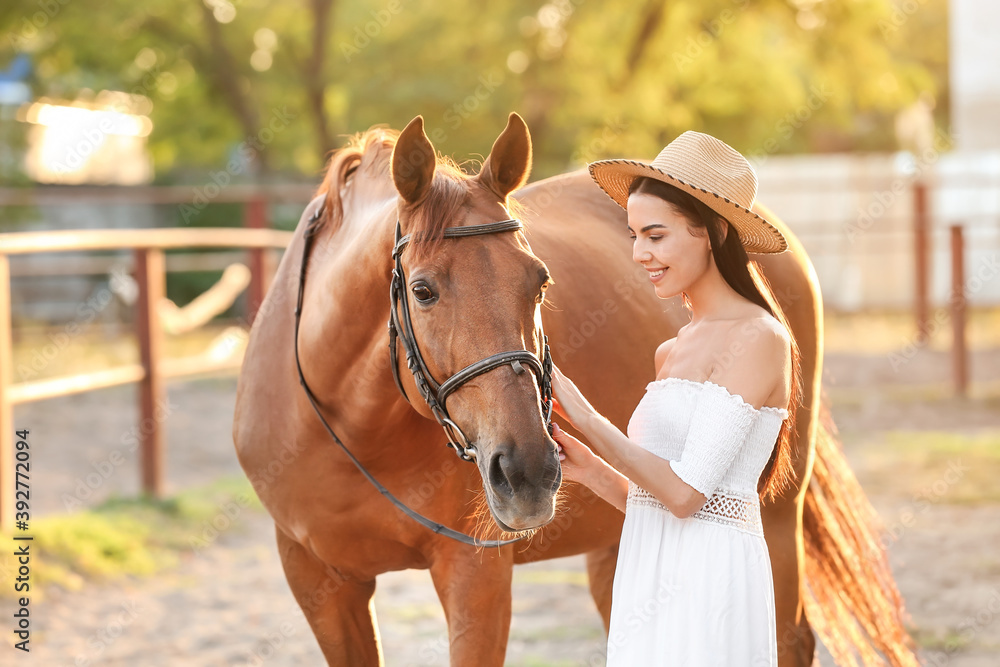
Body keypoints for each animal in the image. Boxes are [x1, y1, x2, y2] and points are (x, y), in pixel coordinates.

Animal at [230, 112, 916, 664]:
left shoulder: (475, 572)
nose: (529, 472)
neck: (356, 428)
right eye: (422, 290)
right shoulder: (319, 582)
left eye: (539, 280)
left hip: (773, 512)